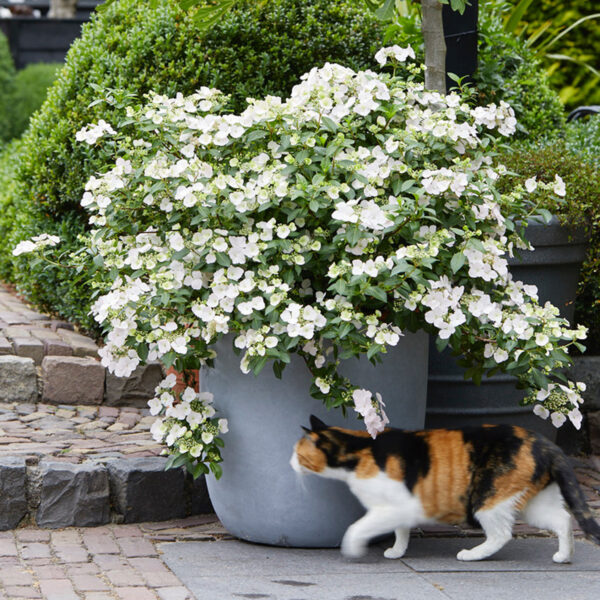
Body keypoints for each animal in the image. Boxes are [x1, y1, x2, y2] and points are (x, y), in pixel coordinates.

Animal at [290, 418, 600, 564]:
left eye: (298, 454)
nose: (289, 462)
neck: (361, 448)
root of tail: (546, 444)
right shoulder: (399, 508)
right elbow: (401, 530)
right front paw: (397, 551)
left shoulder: (398, 505)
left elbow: (357, 528)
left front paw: (352, 548)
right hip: (533, 504)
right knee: (563, 520)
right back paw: (564, 556)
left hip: (489, 499)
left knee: (501, 534)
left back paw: (471, 555)